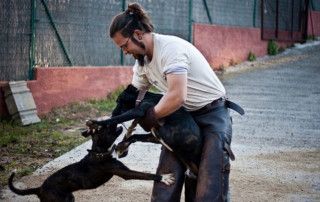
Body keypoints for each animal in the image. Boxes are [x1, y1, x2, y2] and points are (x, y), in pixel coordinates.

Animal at [8, 124, 175, 201]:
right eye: (106, 128)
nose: (114, 121)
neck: (100, 152)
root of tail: (39, 188)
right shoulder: (126, 173)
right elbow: (146, 175)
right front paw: (164, 178)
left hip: (69, 198)